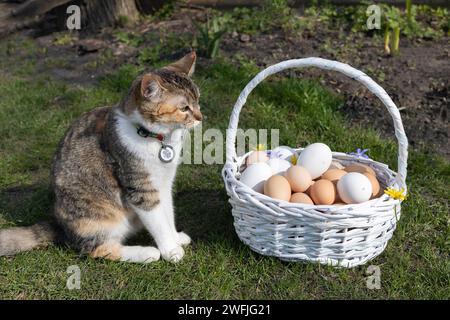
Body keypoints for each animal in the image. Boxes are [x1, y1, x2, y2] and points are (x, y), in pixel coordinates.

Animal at [0, 52, 202, 262]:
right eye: (184, 108)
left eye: (198, 100)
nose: (200, 117)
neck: (155, 138)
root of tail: (60, 226)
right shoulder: (140, 188)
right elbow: (158, 222)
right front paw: (170, 250)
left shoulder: (164, 184)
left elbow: (168, 214)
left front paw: (175, 238)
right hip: (100, 220)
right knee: (98, 249)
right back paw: (147, 253)